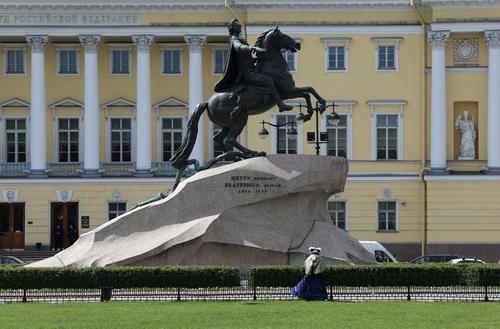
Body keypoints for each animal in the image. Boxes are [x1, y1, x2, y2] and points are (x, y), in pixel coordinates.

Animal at [170, 26, 326, 170]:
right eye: (282, 36)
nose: (297, 45)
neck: (272, 66)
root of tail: (207, 102)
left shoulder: (289, 91)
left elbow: (309, 90)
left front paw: (315, 109)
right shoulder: (286, 91)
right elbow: (307, 91)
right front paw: (312, 109)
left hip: (228, 123)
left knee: (219, 138)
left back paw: (235, 158)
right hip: (240, 119)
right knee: (229, 140)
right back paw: (251, 153)